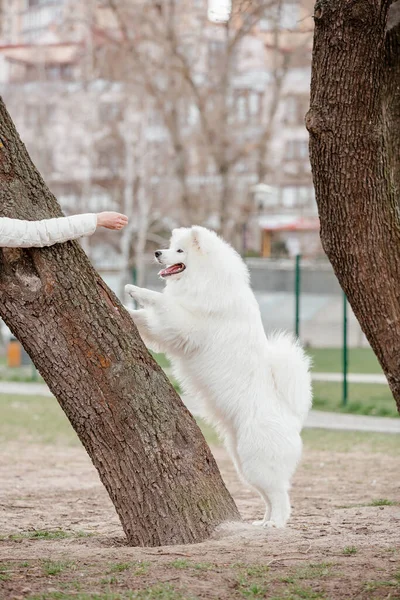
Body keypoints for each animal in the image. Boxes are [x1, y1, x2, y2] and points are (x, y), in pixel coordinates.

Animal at [126, 227, 312, 528]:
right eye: (169, 246)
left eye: (179, 250)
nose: (156, 253)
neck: (207, 278)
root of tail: (293, 419)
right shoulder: (173, 332)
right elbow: (147, 320)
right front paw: (127, 312)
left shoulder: (185, 324)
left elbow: (162, 302)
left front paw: (134, 290)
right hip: (244, 464)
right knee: (269, 496)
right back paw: (262, 522)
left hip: (257, 462)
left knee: (281, 495)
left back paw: (274, 523)